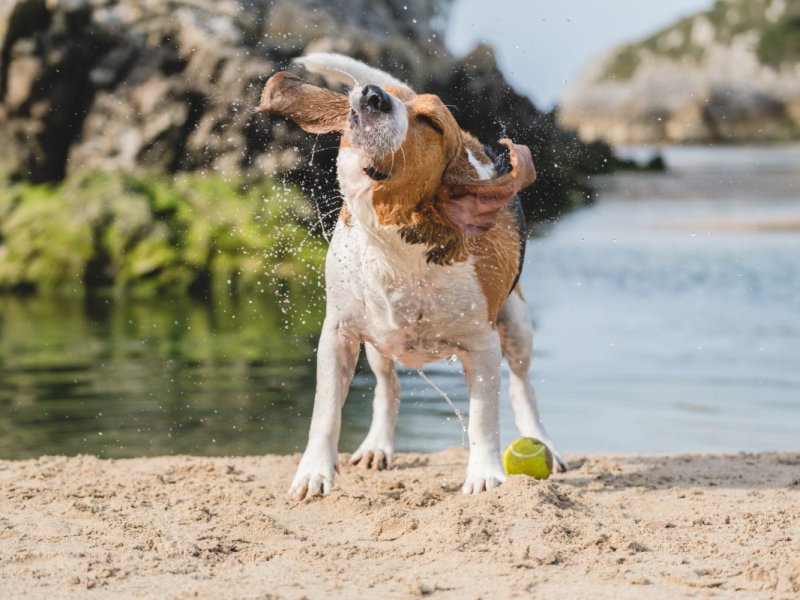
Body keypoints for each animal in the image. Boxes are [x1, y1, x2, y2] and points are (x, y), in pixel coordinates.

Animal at [256, 55, 564, 496]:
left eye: (432, 123)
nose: (372, 94)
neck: (392, 241)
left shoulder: (482, 345)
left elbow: (483, 418)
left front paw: (484, 474)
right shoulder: (338, 334)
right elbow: (326, 412)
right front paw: (314, 471)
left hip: (517, 325)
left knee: (523, 387)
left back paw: (541, 442)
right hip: (377, 342)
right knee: (389, 387)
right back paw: (377, 445)